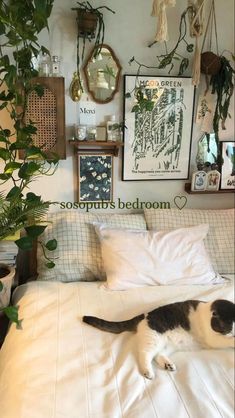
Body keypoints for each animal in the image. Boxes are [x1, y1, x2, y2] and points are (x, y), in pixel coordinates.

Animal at [83, 300, 235, 378]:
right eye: (228, 325)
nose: (232, 331)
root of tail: (144, 315)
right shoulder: (213, 338)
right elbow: (224, 340)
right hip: (153, 338)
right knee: (145, 354)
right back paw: (148, 372)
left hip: (169, 344)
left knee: (158, 355)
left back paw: (168, 364)